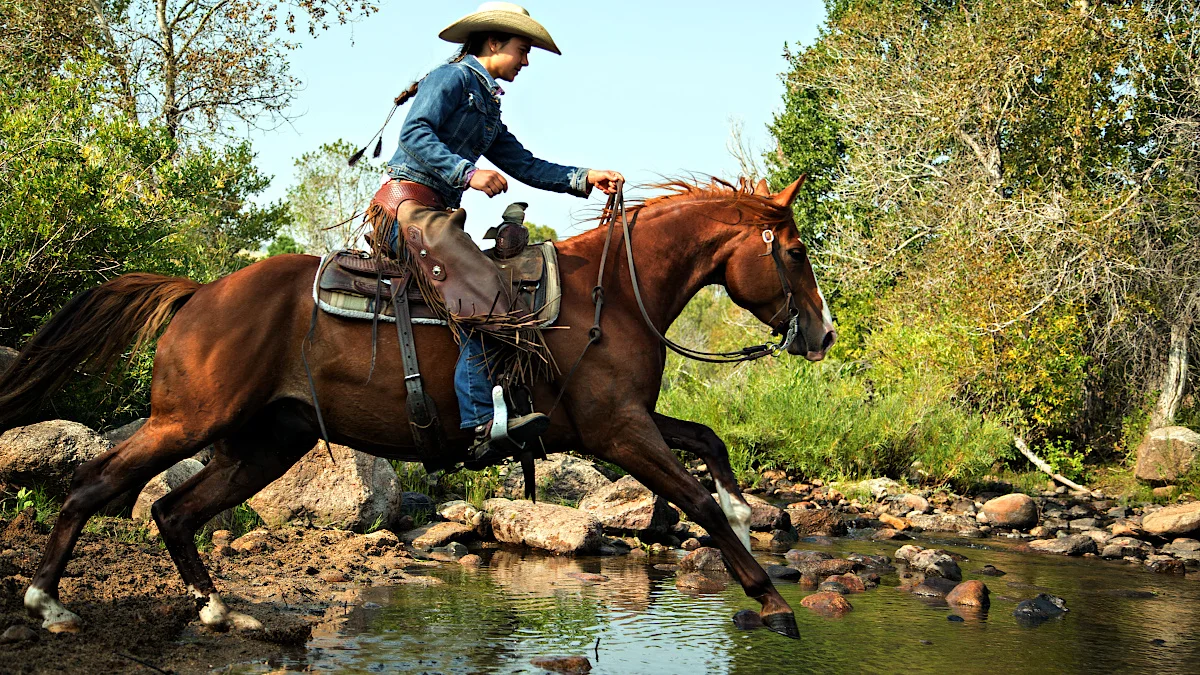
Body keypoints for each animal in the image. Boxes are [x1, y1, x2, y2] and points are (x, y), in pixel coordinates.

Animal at [2, 172, 835, 634]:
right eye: (795, 252)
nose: (823, 333)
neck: (616, 294)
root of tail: (198, 292)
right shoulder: (618, 432)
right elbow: (693, 497)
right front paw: (770, 599)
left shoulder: (623, 422)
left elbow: (710, 443)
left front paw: (747, 515)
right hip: (186, 421)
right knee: (99, 484)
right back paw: (46, 601)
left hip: (265, 443)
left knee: (175, 510)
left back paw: (216, 608)